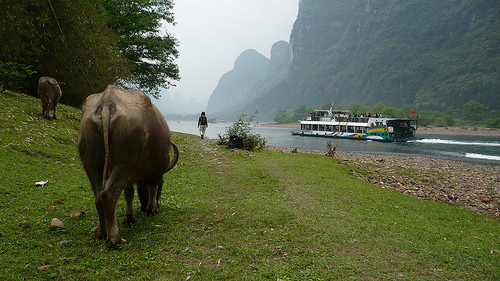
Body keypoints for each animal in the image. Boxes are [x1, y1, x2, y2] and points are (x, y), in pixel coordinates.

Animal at [78, 84, 180, 244]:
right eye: (163, 185)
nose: (144, 207)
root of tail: (107, 102)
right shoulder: (156, 172)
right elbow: (152, 188)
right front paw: (152, 209)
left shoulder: (130, 179)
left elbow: (129, 193)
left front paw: (130, 217)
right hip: (124, 162)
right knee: (109, 193)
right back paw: (116, 239)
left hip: (92, 161)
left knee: (99, 194)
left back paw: (102, 232)